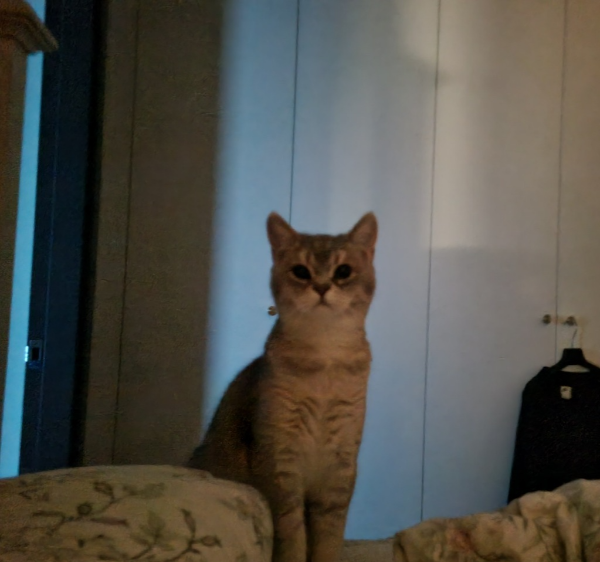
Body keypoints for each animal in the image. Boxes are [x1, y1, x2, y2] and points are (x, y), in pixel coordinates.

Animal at [188, 212, 378, 562]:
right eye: (301, 271)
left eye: (343, 271)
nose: (321, 287)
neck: (324, 361)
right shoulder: (280, 462)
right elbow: (292, 537)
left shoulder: (340, 469)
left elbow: (329, 538)